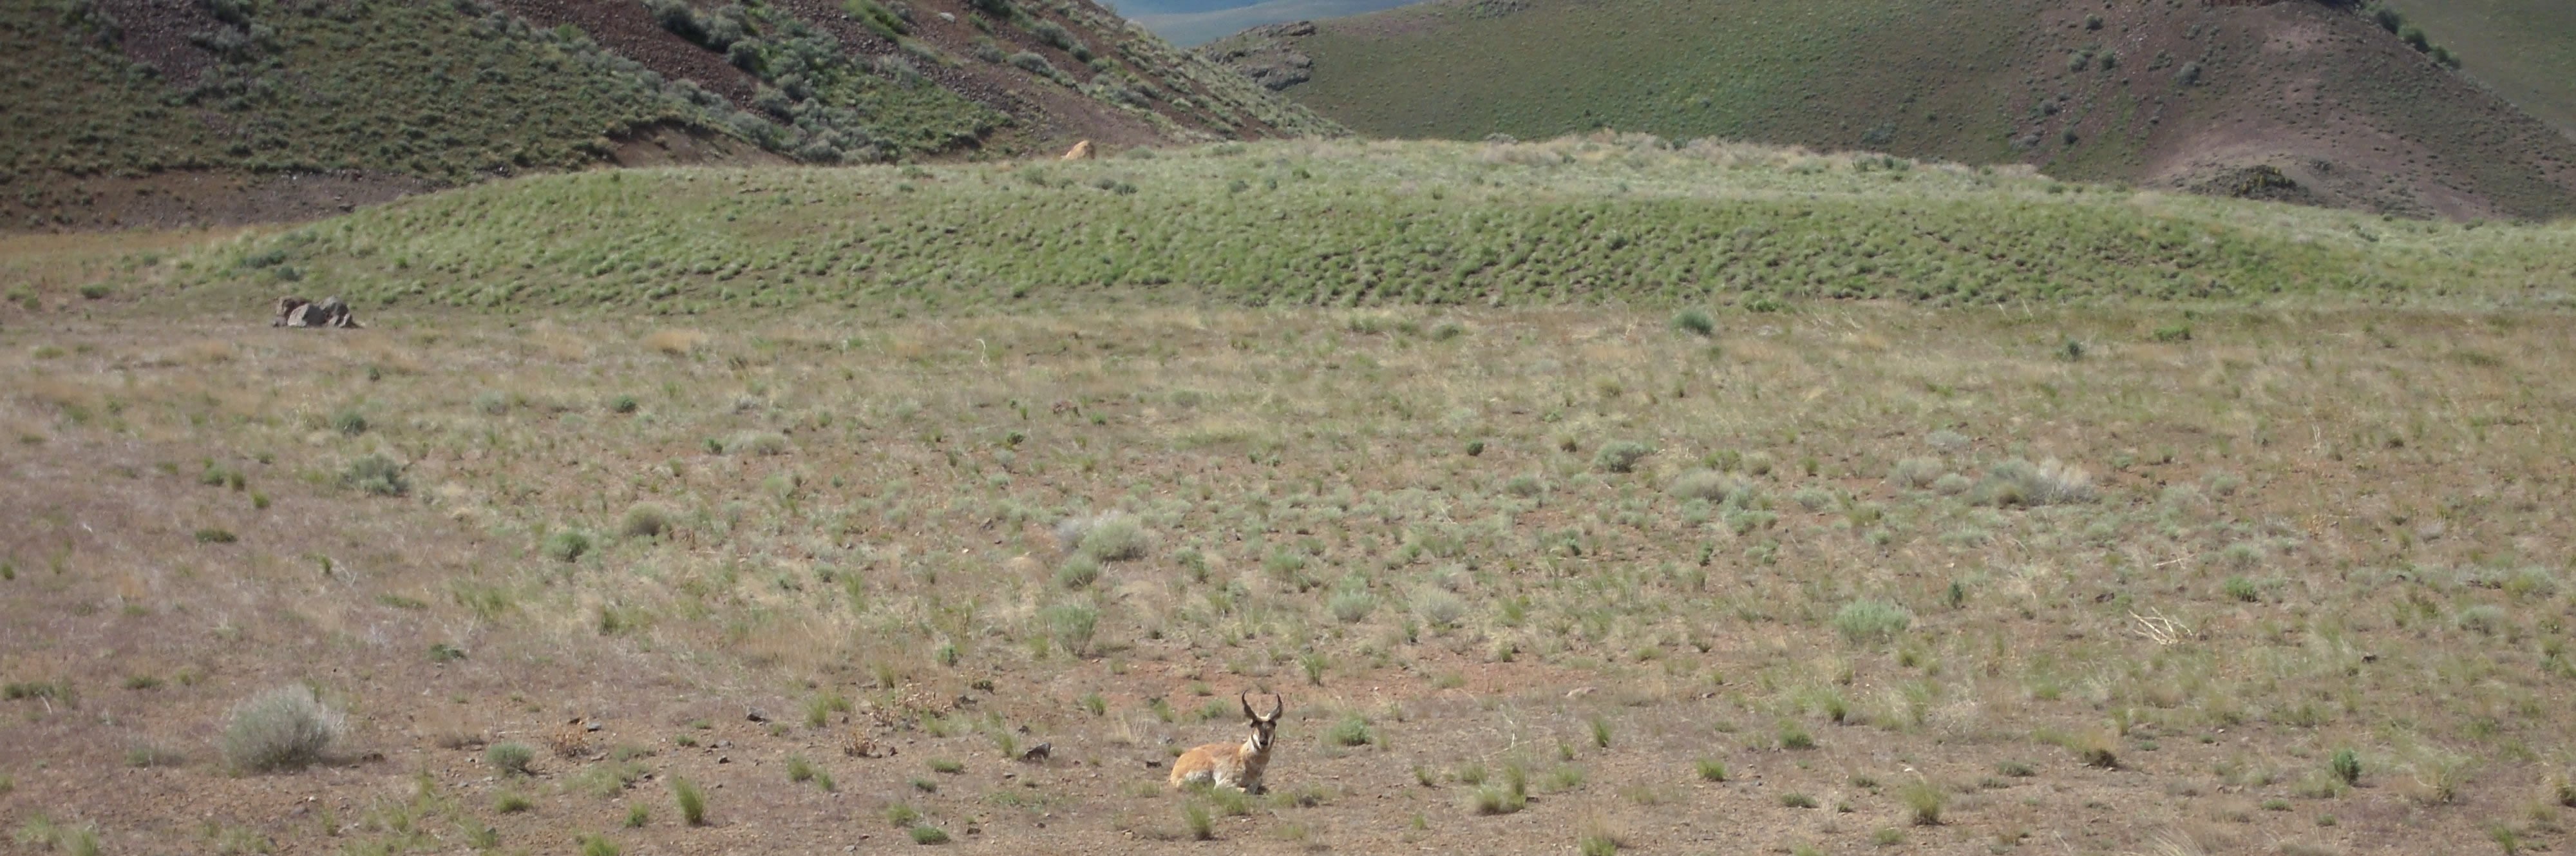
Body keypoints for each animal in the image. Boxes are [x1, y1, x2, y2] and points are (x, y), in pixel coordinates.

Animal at [1175, 690, 1283, 794]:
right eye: (1252, 725)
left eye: (1274, 725)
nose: (1263, 742)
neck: (1243, 756)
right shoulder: (1223, 784)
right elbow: (1245, 790)